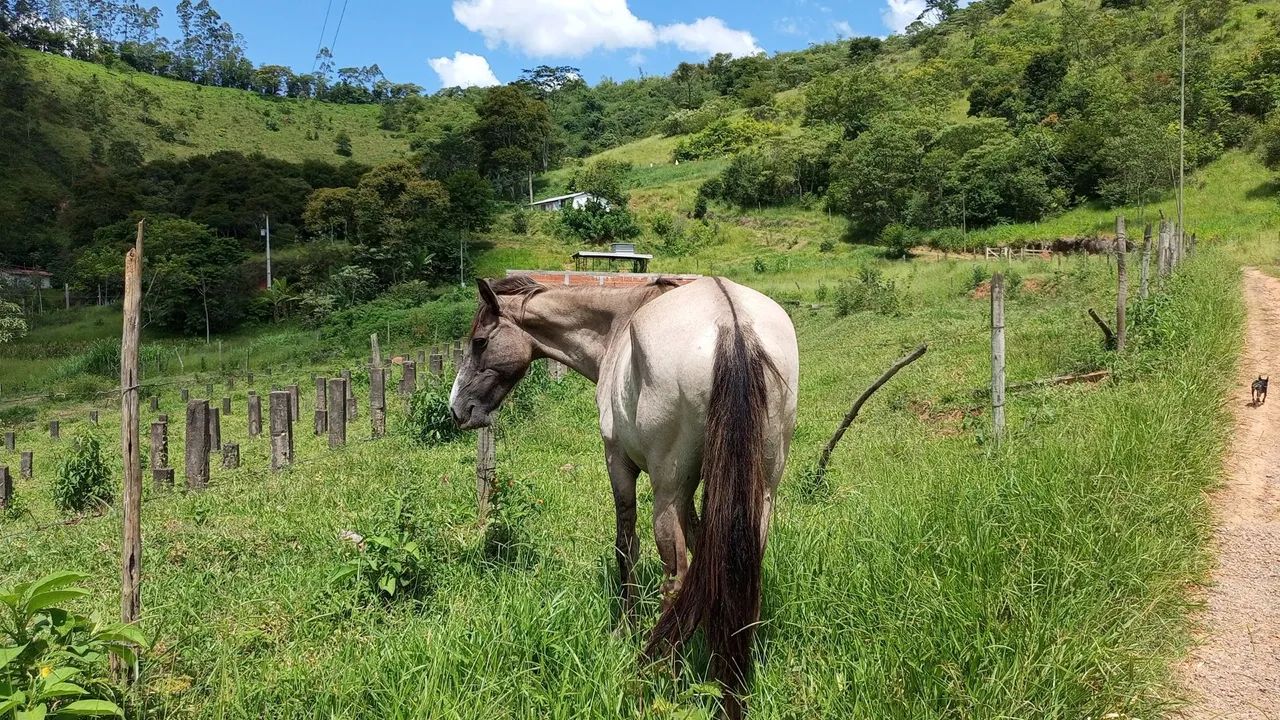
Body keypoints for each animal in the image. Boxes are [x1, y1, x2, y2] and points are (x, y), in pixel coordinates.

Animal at [450, 275, 799, 717]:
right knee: (743, 566)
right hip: (760, 491)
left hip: (666, 492)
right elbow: (706, 547)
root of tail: (731, 323)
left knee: (675, 578)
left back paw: (662, 673)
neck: (618, 326)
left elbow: (626, 546)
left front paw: (626, 628)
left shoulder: (619, 462)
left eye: (479, 341)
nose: (457, 409)